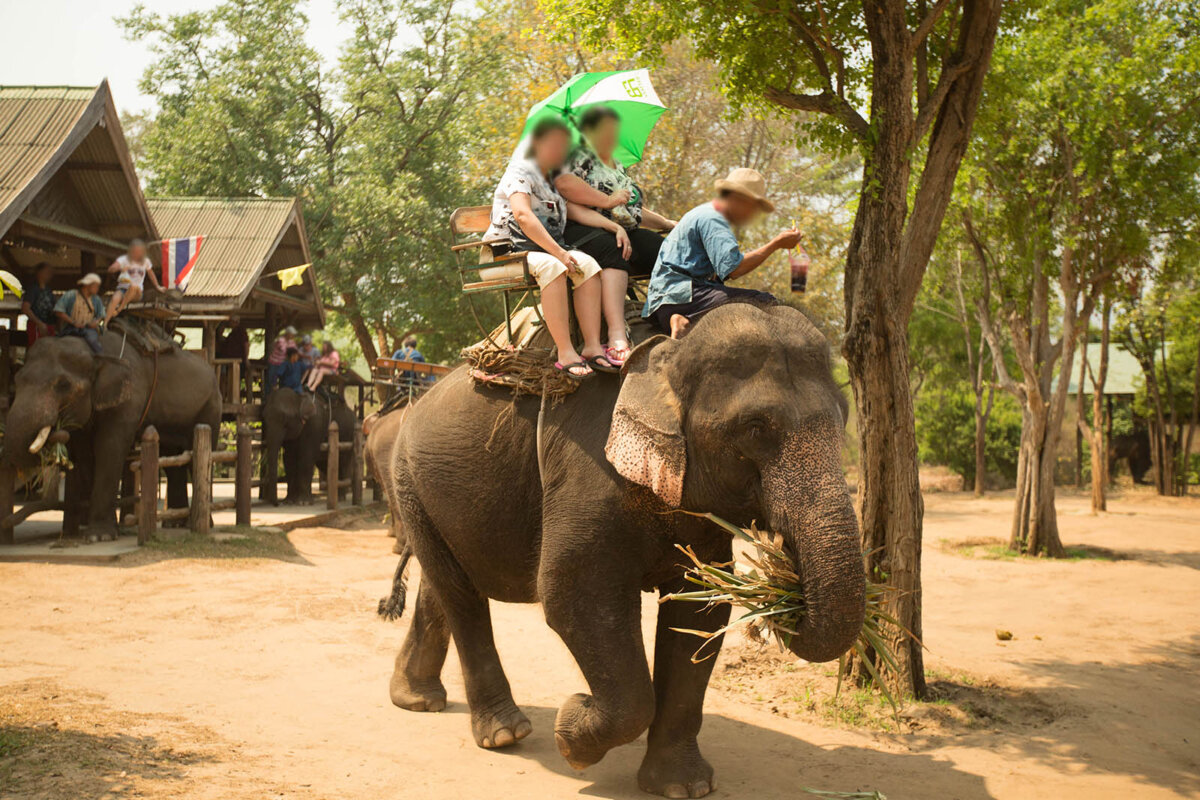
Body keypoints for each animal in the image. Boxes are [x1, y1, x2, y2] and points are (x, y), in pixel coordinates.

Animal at [1, 328, 222, 542]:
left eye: (63, 385)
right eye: (17, 380)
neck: (95, 352)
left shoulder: (130, 397)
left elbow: (109, 448)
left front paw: (99, 536)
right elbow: (85, 456)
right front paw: (90, 528)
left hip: (210, 407)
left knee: (198, 455)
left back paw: (202, 524)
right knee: (172, 460)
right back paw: (174, 524)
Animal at [374, 303, 864, 796]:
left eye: (842, 419)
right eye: (756, 428)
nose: (787, 599)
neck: (671, 354)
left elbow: (699, 615)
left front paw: (683, 788)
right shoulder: (590, 472)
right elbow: (574, 596)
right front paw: (571, 732)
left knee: (444, 584)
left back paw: (415, 700)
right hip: (407, 478)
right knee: (460, 595)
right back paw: (505, 733)